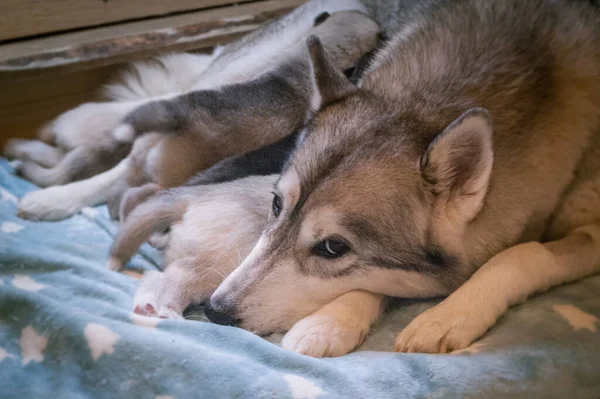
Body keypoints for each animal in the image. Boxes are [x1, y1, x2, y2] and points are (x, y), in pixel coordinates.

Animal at [200, 0, 600, 356]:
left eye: (333, 247)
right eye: (276, 204)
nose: (214, 310)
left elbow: (522, 254)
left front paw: (449, 315)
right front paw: (330, 321)